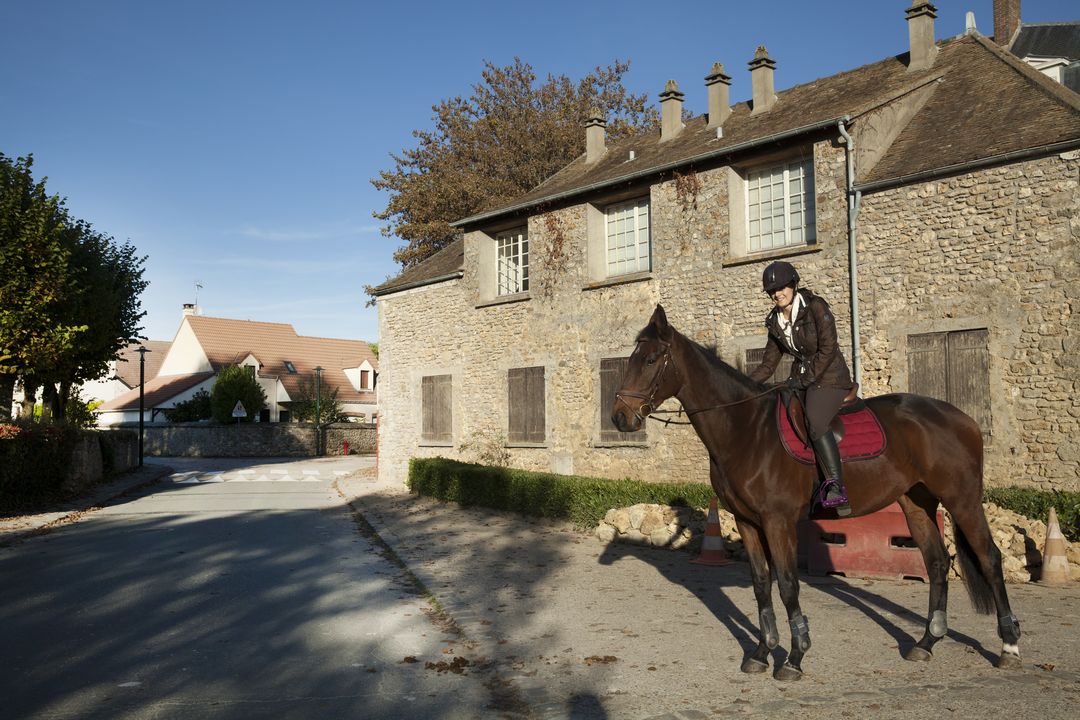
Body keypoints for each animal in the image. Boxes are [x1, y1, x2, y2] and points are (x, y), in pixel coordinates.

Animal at [613, 304, 1015, 682]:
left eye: (650, 359)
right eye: (630, 358)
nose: (620, 417)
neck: (746, 430)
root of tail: (962, 418)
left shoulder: (778, 522)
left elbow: (789, 585)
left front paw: (794, 657)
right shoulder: (746, 522)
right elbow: (762, 585)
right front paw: (762, 653)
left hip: (962, 500)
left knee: (989, 558)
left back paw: (1009, 646)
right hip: (916, 503)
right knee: (936, 563)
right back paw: (926, 642)